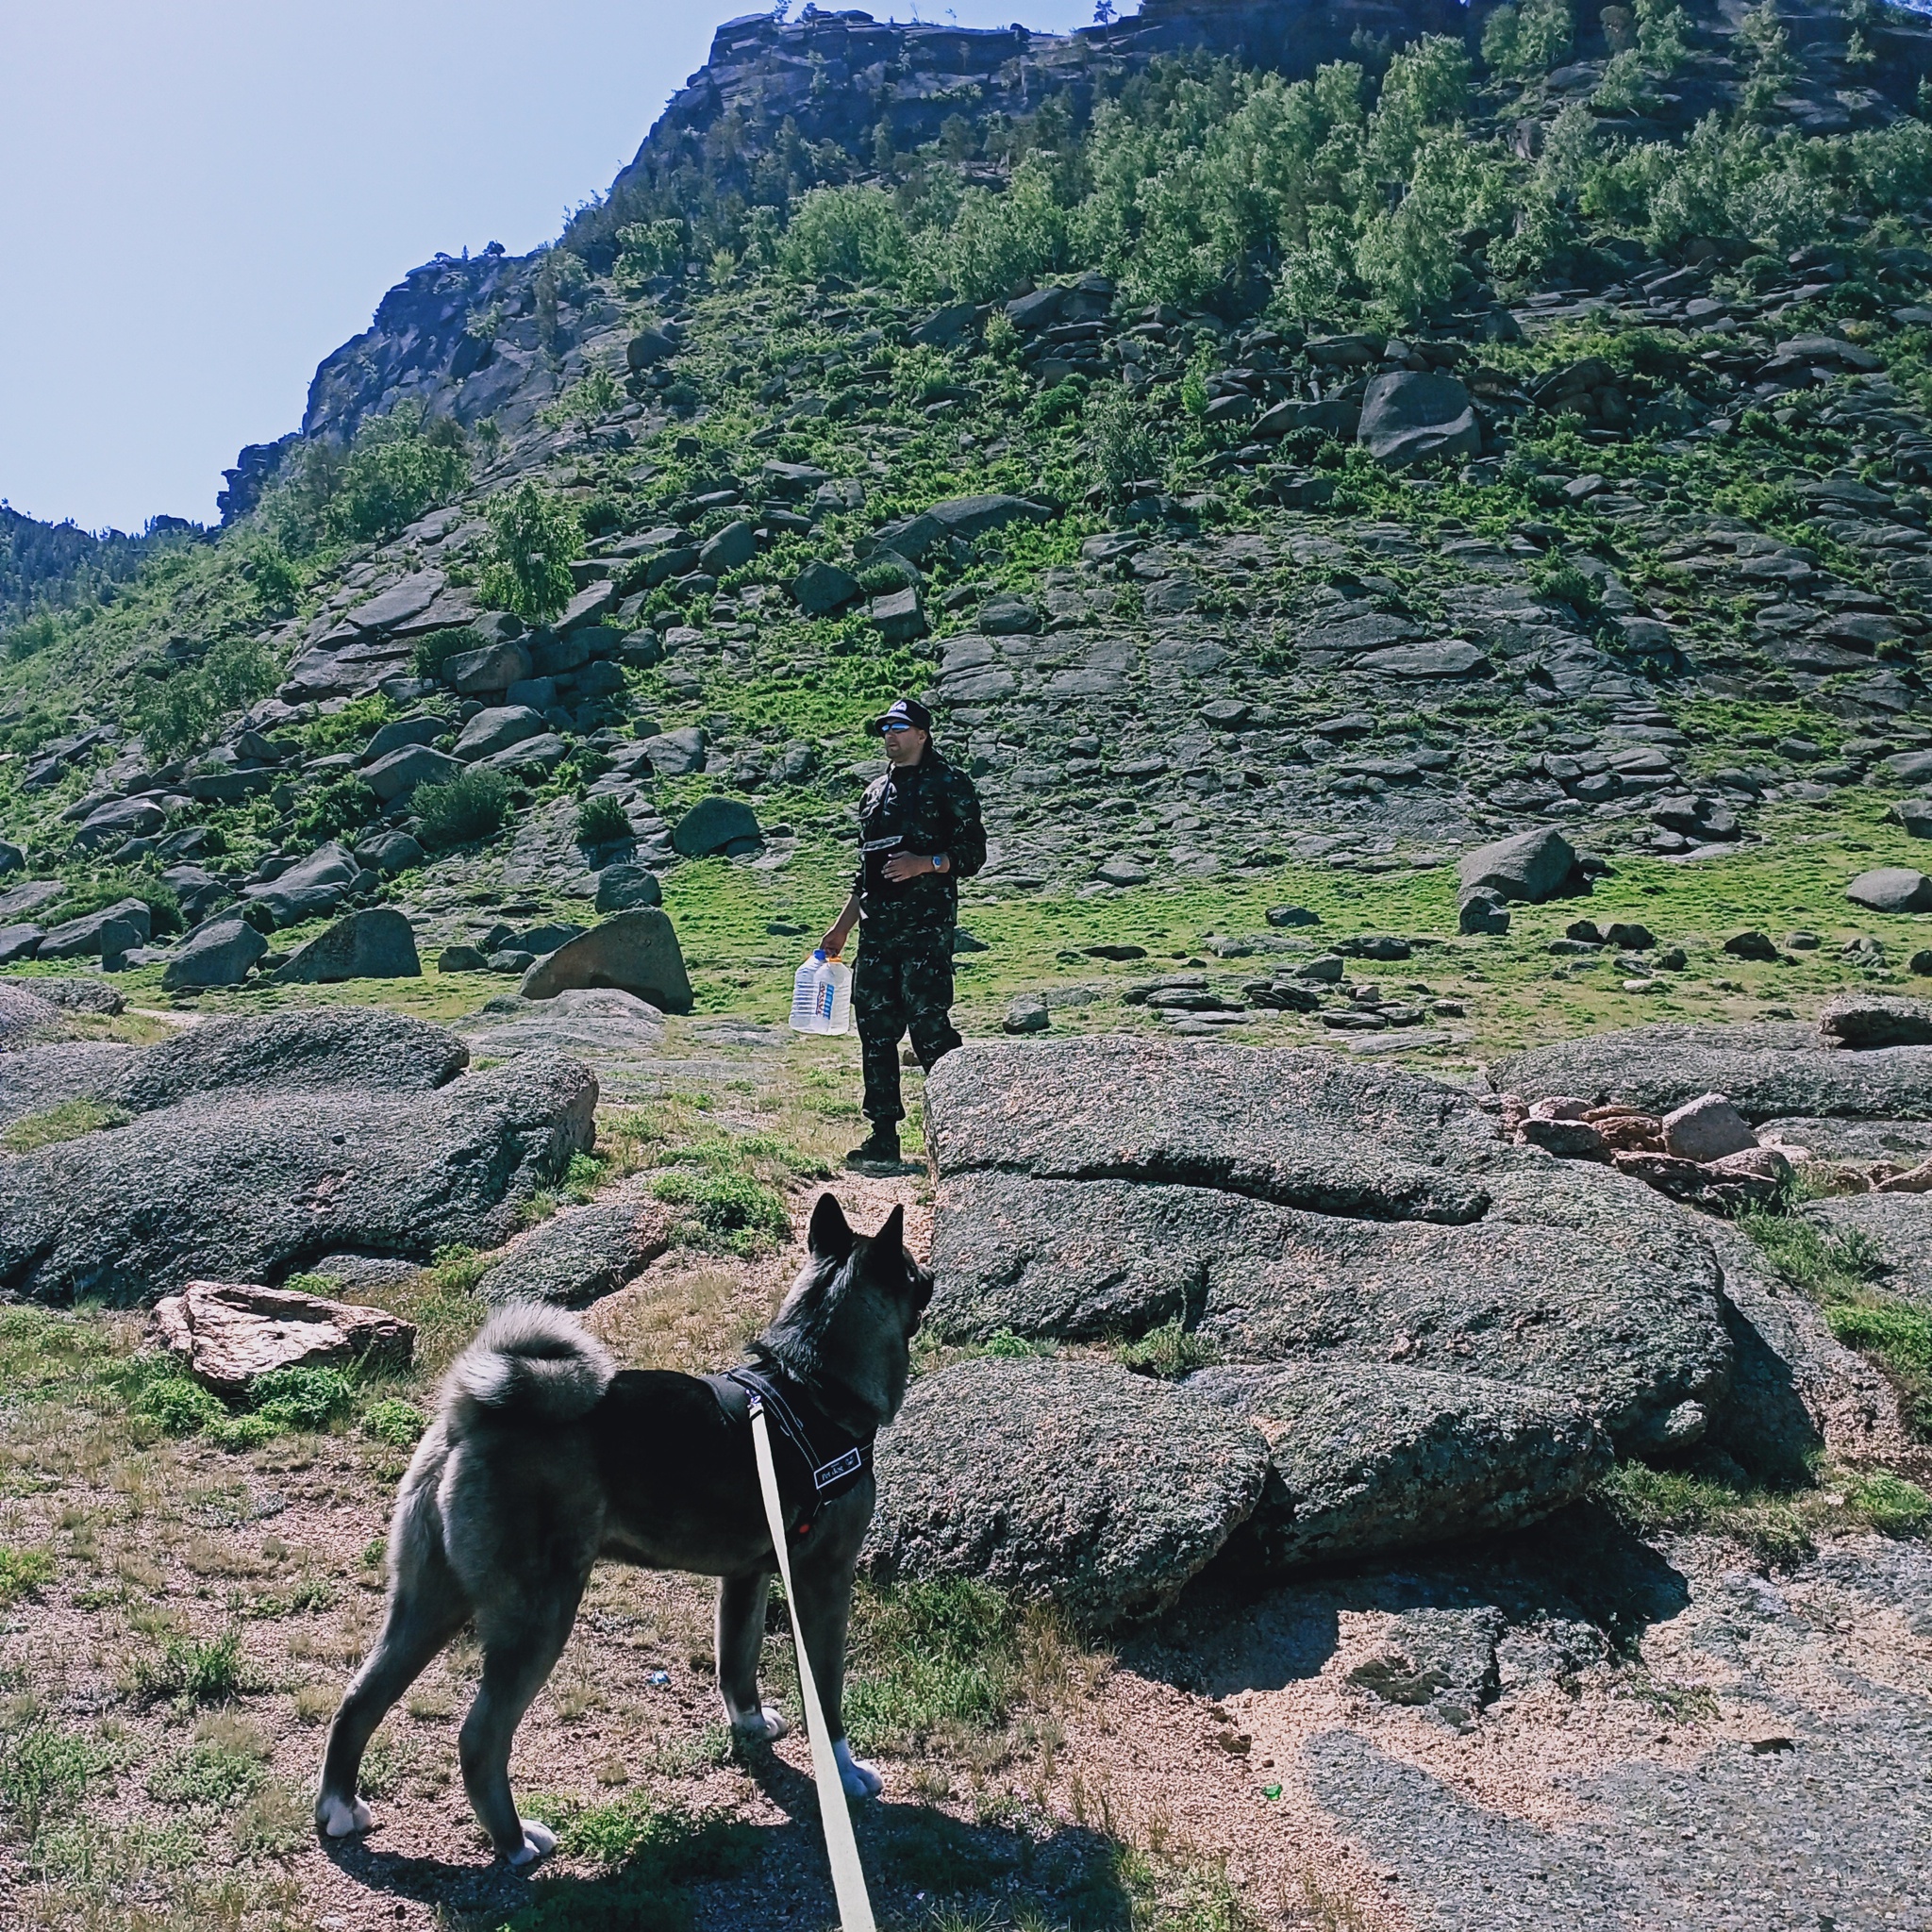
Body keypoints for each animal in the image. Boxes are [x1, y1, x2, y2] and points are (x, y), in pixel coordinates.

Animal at [312, 1197, 931, 1862]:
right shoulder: (824, 1582)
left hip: (429, 1601)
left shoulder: (746, 1578)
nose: (930, 1276)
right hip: (537, 1616)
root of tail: (469, 1410)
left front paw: (750, 1727)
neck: (811, 1385)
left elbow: (736, 1666)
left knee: (358, 1700)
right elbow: (827, 1692)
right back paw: (516, 1841)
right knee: (479, 1739)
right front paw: (845, 1773)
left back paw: (340, 1809)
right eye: (911, 1268)